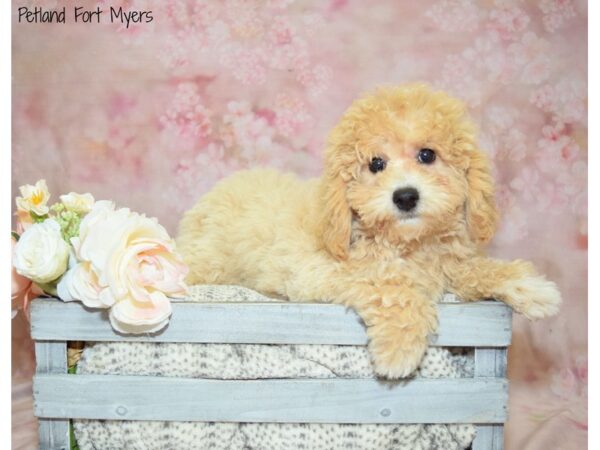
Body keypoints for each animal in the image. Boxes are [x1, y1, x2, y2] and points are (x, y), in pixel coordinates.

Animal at [176, 82, 560, 378]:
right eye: (376, 164)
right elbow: (391, 283)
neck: (406, 244)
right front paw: (401, 348)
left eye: (427, 155)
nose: (405, 196)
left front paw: (529, 287)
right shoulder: (321, 271)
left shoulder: (446, 264)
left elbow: (474, 268)